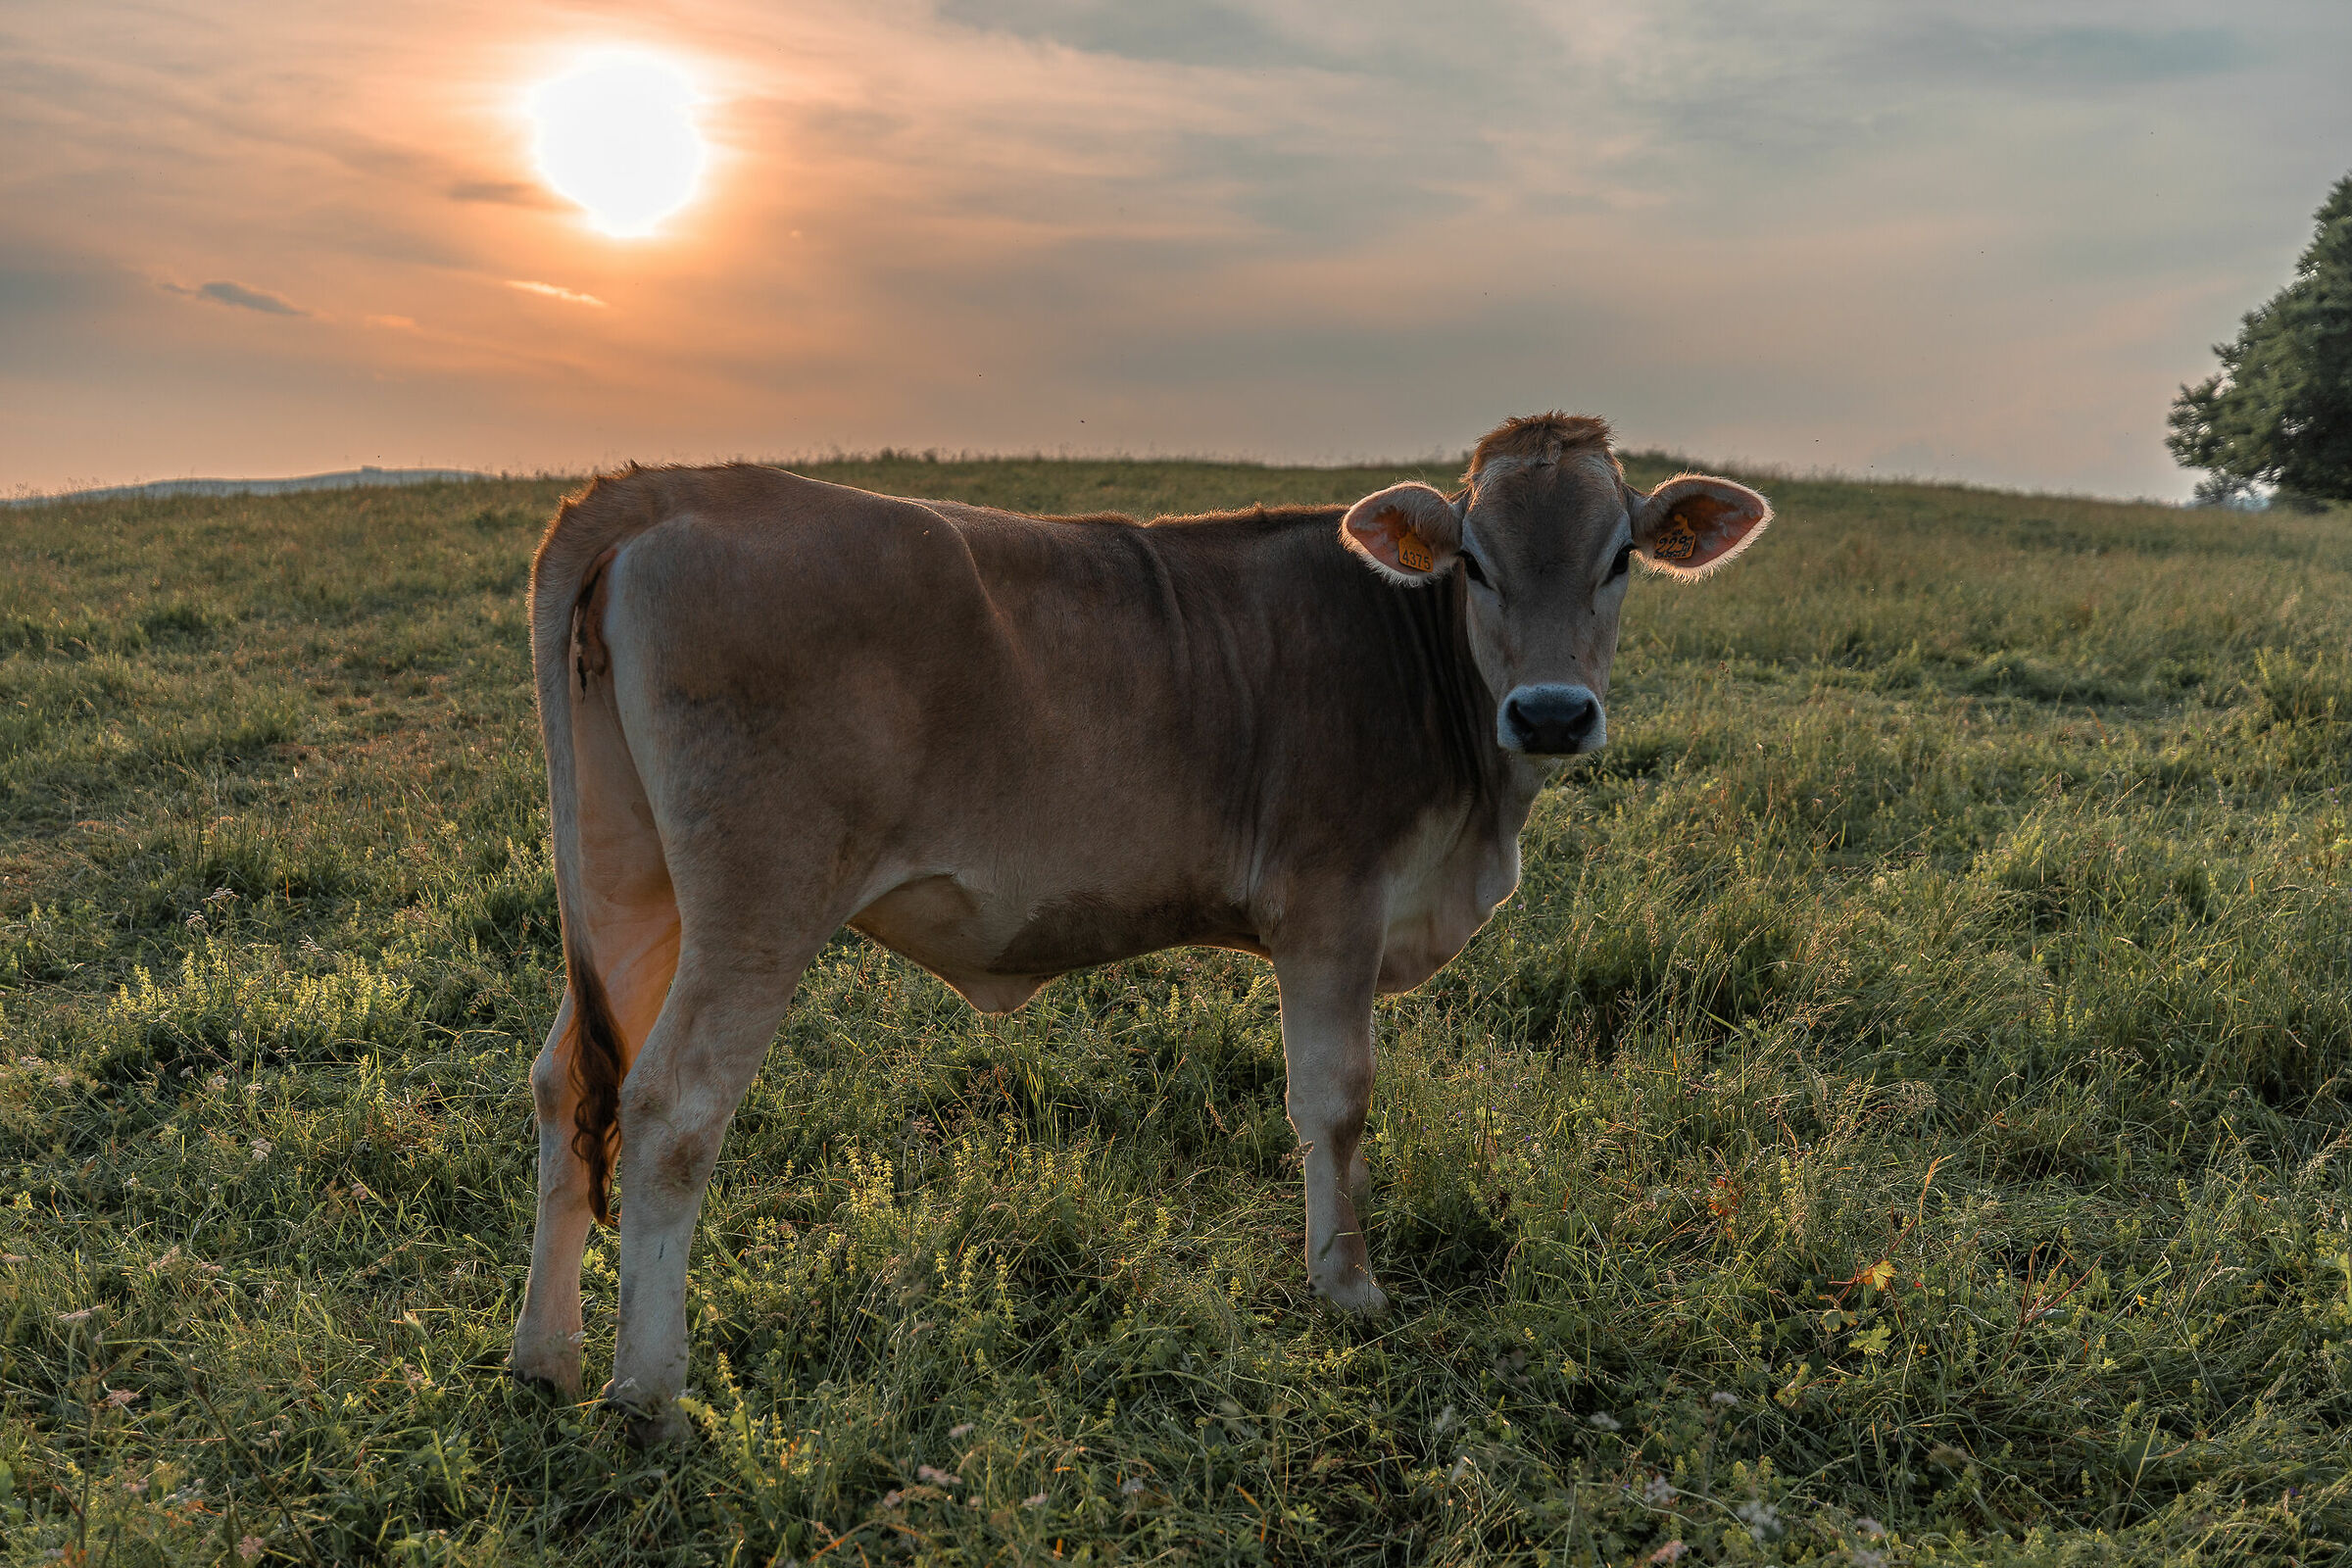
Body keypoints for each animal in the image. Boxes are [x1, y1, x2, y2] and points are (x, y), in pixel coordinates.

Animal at [508, 412, 1770, 1441]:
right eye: (1474, 561)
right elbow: (1336, 1099)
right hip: (758, 900)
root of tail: (672, 487)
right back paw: (647, 1394)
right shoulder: (1331, 902)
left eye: (1620, 557)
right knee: (671, 1108)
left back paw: (545, 1360)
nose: (1552, 712)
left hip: (628, 882)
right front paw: (1347, 1286)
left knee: (569, 1081)